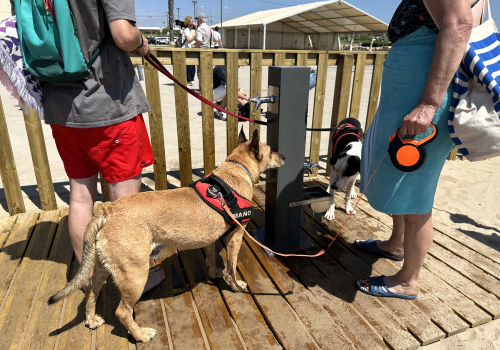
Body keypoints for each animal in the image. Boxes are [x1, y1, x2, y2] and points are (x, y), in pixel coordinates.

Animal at [49, 129, 286, 342]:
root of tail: (107, 212)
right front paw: (236, 284)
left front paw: (214, 273)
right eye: (271, 150)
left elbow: (211, 258)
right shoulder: (236, 236)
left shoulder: (210, 239)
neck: (236, 168)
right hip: (134, 274)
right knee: (122, 312)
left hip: (102, 267)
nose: (283, 156)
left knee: (91, 291)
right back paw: (141, 334)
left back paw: (91, 319)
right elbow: (232, 266)